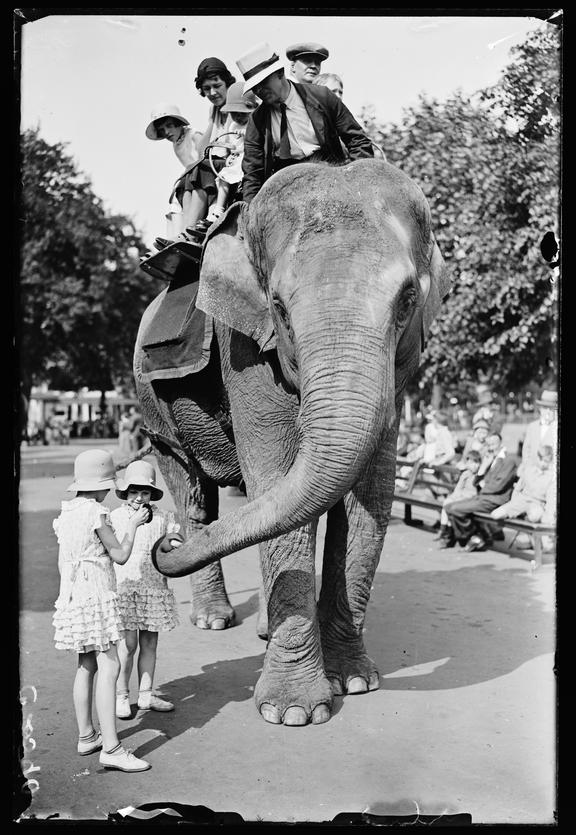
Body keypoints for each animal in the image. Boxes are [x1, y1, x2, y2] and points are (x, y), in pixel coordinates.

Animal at [135, 158, 450, 724]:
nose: (161, 545)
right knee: (193, 492)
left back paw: (262, 629)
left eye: (408, 300)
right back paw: (213, 618)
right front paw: (293, 712)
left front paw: (354, 681)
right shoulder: (244, 347)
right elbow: (277, 473)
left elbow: (370, 496)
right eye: (279, 307)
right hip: (155, 414)